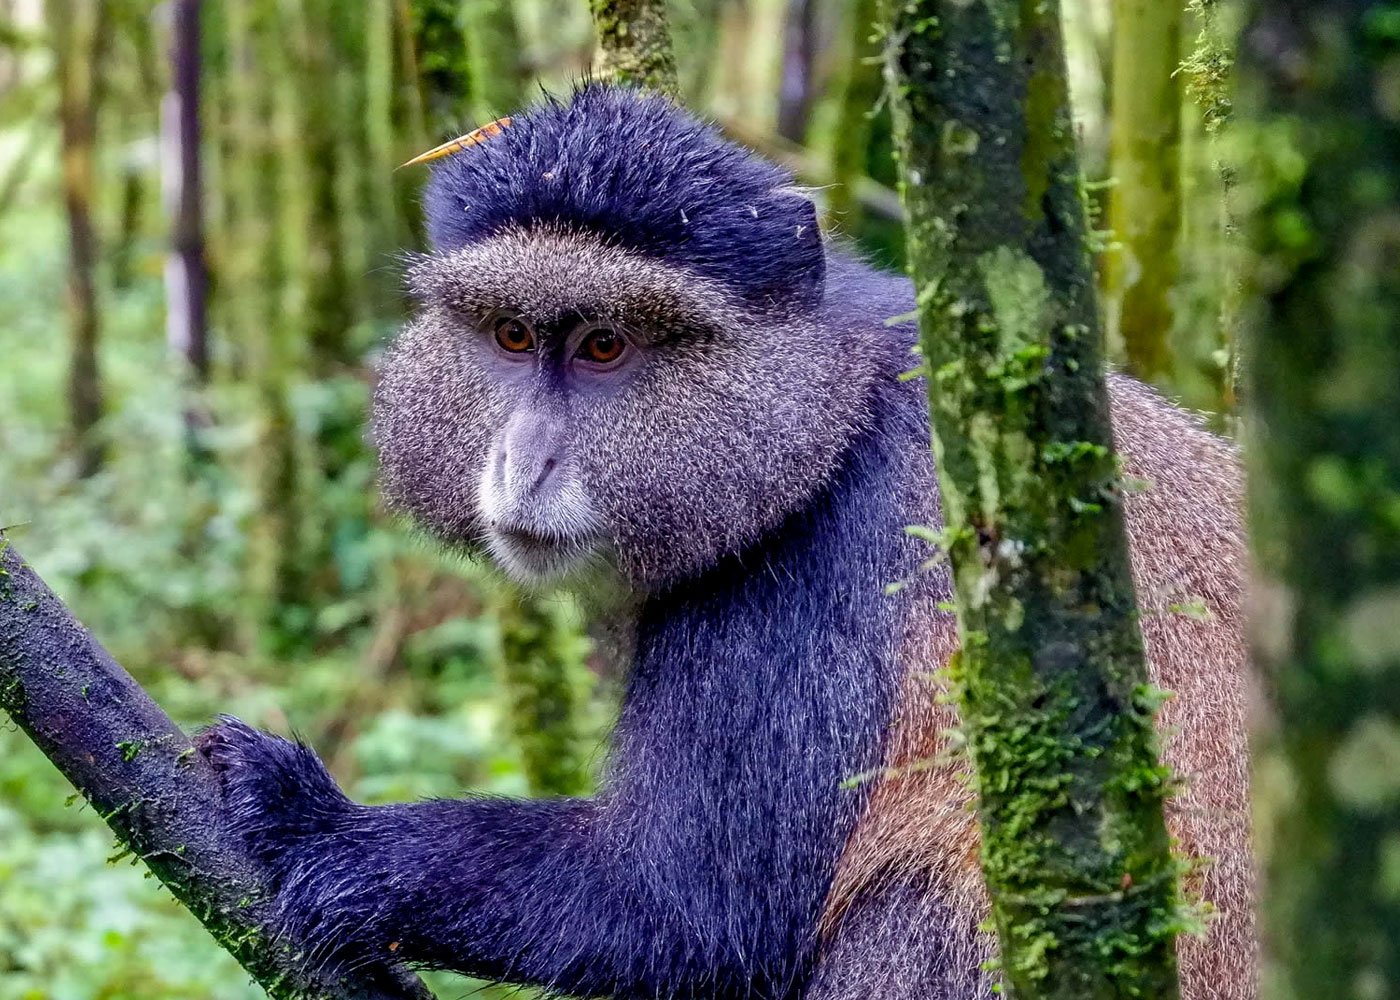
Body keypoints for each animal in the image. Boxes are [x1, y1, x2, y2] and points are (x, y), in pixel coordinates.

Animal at [199, 85, 1255, 999]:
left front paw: (311, 820)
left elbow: (683, 913)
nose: (524, 461)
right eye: (511, 336)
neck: (832, 420)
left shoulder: (824, 581)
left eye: (605, 346)